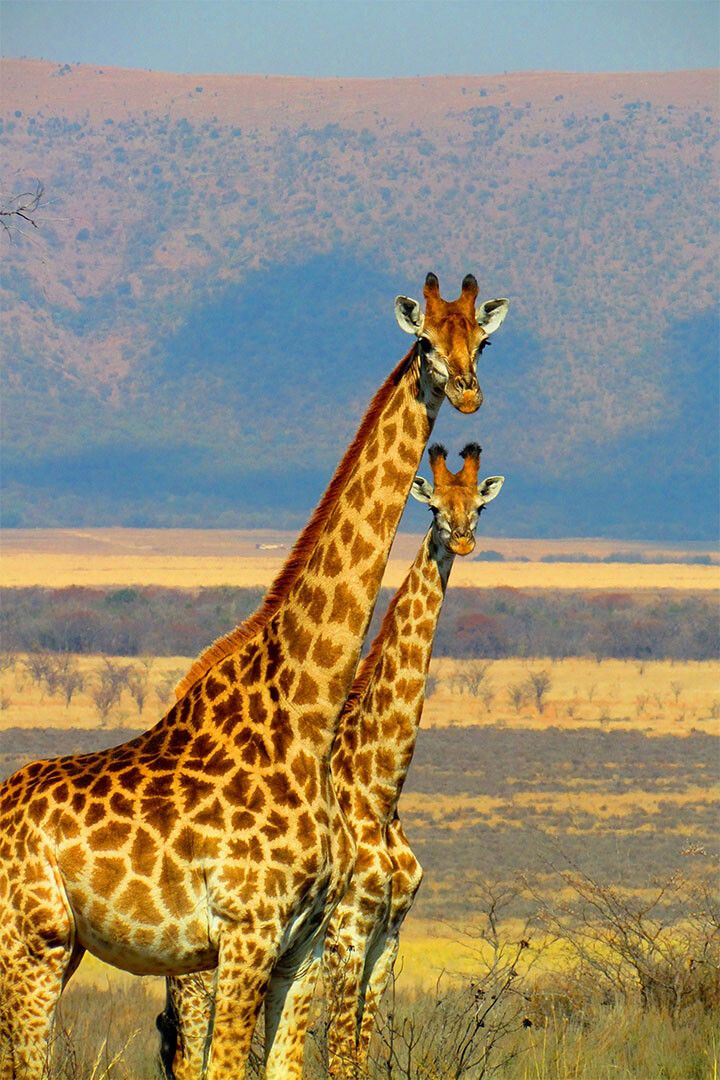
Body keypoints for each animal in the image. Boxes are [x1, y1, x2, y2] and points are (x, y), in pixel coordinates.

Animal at [0, 274, 509, 1080]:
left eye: (483, 342)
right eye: (426, 340)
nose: (465, 392)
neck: (308, 716)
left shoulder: (304, 942)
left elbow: (291, 1066)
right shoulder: (257, 930)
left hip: (65, 945)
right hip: (36, 942)